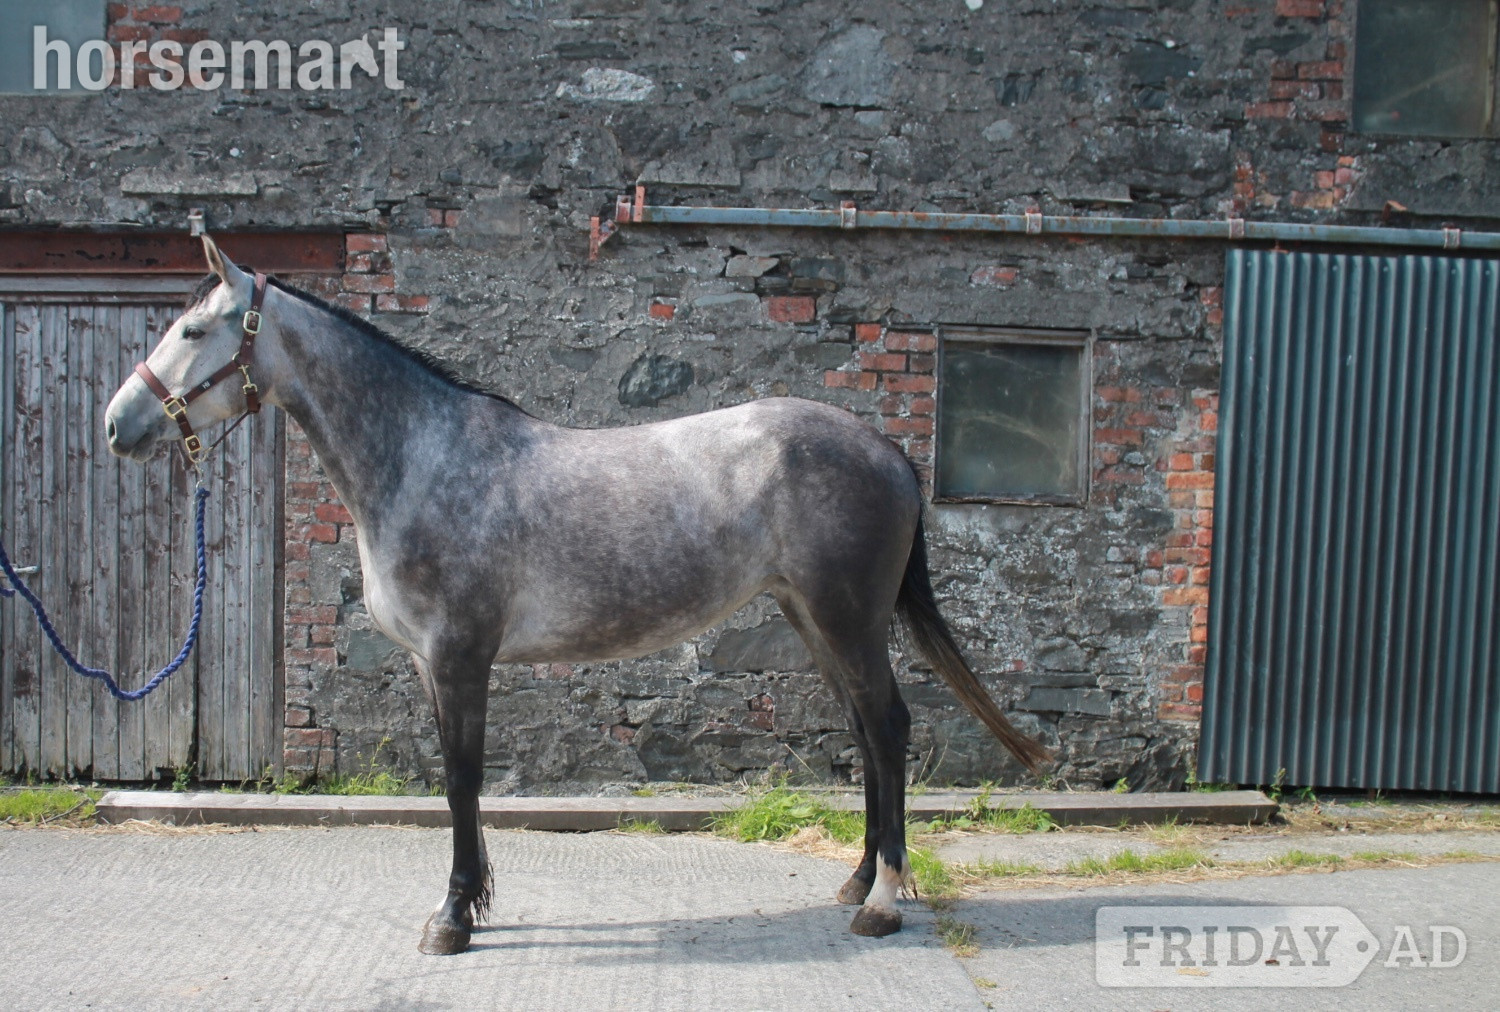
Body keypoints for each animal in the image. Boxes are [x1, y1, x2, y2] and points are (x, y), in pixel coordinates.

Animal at [104, 236, 1050, 954]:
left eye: (192, 328)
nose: (118, 425)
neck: (421, 459)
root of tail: (888, 452)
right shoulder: (431, 666)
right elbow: (460, 782)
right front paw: (471, 904)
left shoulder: (460, 658)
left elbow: (461, 782)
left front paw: (453, 918)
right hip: (811, 617)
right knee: (864, 732)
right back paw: (855, 879)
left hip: (847, 618)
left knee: (887, 728)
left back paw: (883, 901)